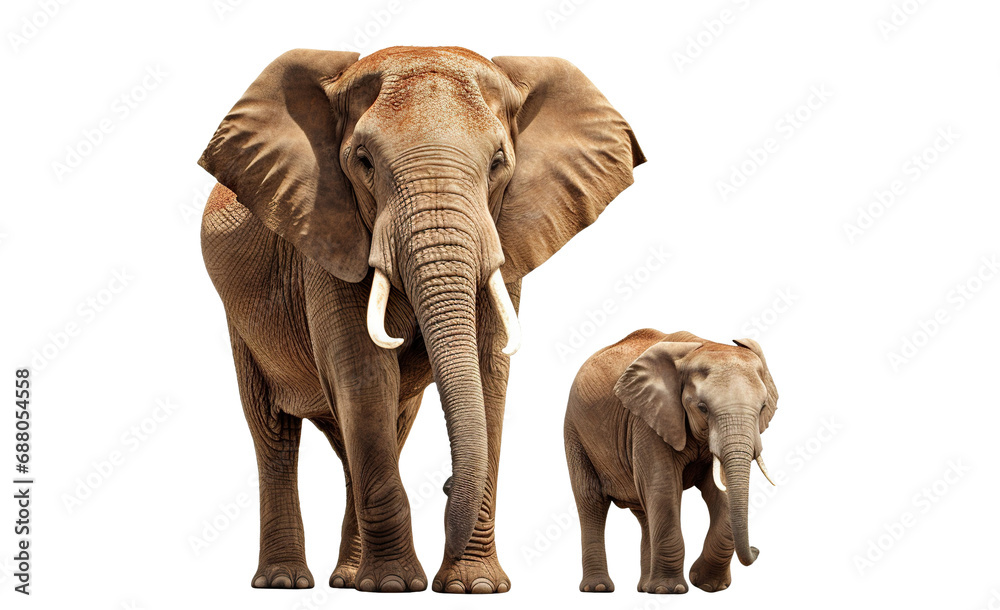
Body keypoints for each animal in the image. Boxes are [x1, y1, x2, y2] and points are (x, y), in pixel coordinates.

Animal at [198, 46, 644, 592]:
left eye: (498, 163)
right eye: (364, 162)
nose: (449, 484)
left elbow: (487, 373)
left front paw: (473, 588)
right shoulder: (325, 230)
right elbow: (363, 372)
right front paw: (392, 586)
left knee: (378, 429)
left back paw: (345, 578)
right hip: (240, 322)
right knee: (274, 432)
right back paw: (287, 581)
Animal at [564, 329, 779, 594]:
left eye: (763, 407)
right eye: (702, 408)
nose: (756, 550)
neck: (703, 347)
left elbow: (719, 492)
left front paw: (707, 584)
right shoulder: (647, 420)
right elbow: (664, 486)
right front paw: (670, 590)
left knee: (644, 510)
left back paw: (644, 587)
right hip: (575, 432)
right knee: (591, 502)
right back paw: (599, 588)